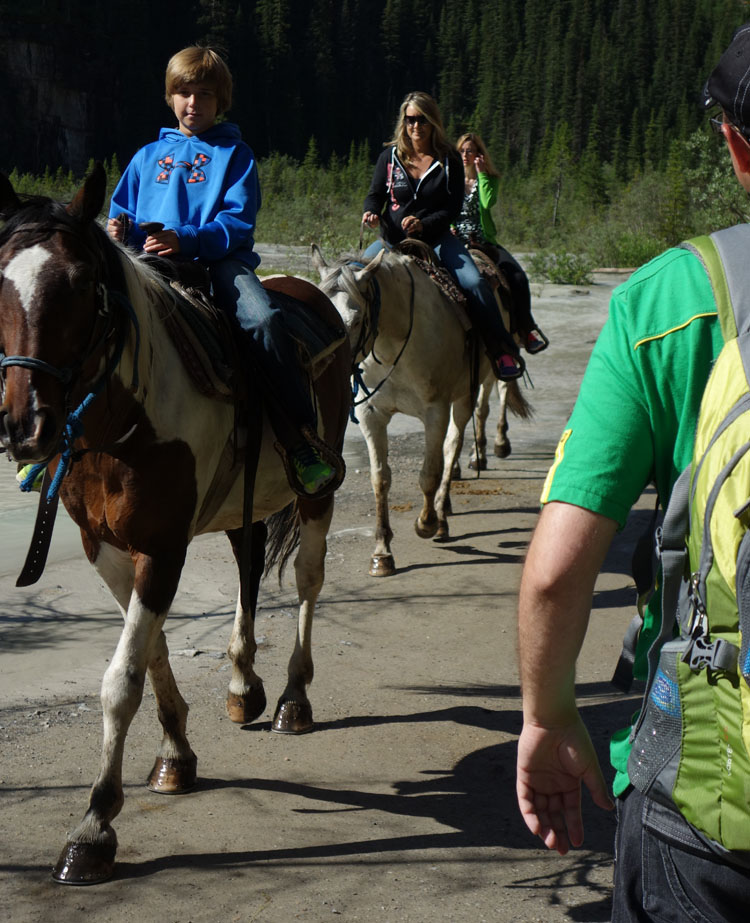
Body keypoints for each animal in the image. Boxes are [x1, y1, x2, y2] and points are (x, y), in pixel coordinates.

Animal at [0, 168, 352, 888]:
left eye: (80, 284)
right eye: (0, 282)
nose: (24, 426)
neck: (123, 421)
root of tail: (312, 291)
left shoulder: (162, 549)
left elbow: (120, 681)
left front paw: (94, 825)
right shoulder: (106, 548)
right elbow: (152, 651)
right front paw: (175, 754)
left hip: (315, 494)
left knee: (307, 579)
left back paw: (293, 698)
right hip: (242, 505)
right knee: (249, 563)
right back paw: (244, 686)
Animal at [314, 245, 532, 576]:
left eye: (356, 320)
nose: (330, 373)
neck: (394, 342)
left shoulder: (435, 411)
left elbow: (430, 472)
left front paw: (427, 523)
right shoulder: (371, 414)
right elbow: (380, 478)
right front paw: (382, 553)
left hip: (467, 393)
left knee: (456, 441)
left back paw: (443, 513)